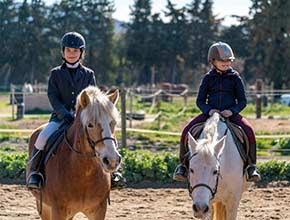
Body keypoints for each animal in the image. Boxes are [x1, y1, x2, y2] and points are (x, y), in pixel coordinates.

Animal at [26, 86, 121, 220]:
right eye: (90, 125)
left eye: (113, 123)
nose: (112, 160)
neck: (85, 172)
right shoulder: (57, 211)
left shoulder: (99, 211)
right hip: (44, 207)